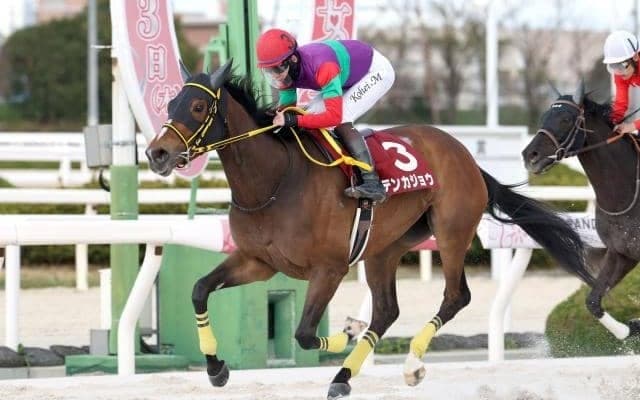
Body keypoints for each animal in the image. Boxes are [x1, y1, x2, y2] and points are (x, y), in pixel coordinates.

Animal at [145, 60, 593, 399]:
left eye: (198, 107)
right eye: (171, 102)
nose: (157, 153)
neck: (273, 182)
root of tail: (464, 154)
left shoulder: (330, 268)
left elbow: (304, 334)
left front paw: (346, 333)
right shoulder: (258, 261)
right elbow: (199, 289)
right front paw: (216, 368)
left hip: (450, 232)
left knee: (455, 296)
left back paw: (410, 364)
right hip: (384, 248)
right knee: (388, 310)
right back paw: (344, 377)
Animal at [523, 83, 640, 341]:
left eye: (566, 119)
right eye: (544, 116)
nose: (529, 155)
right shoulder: (621, 253)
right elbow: (593, 301)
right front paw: (627, 330)